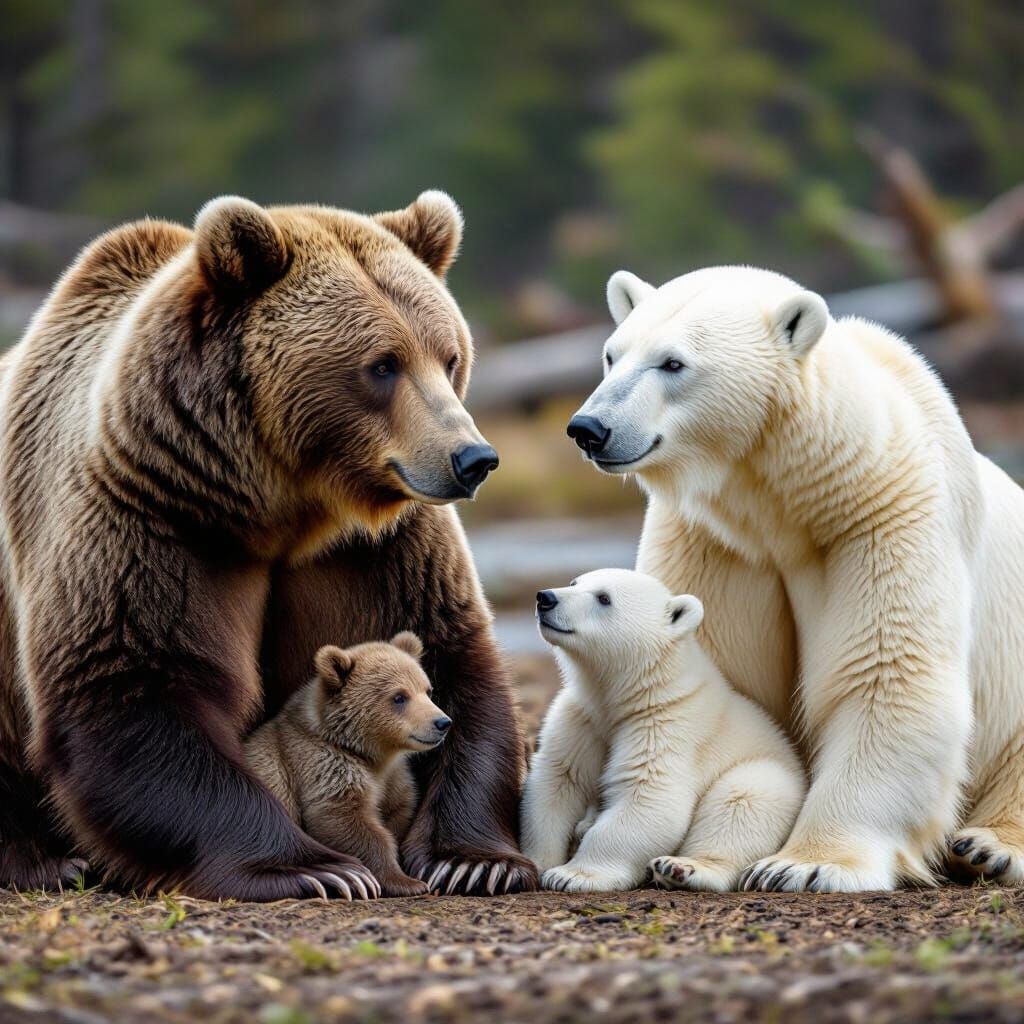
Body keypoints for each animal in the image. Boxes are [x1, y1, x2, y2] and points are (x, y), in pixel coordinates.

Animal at [245, 632, 450, 898]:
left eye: (427, 690)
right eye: (399, 696)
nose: (443, 722)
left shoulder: (394, 776)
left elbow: (399, 809)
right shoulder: (322, 764)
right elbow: (344, 818)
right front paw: (406, 882)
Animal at [520, 568, 805, 893]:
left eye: (604, 598)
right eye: (574, 583)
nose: (546, 597)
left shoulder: (667, 727)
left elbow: (651, 797)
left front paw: (573, 875)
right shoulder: (582, 718)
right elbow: (556, 781)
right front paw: (537, 863)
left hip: (767, 776)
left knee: (746, 796)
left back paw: (680, 867)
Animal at [565, 263, 1024, 892]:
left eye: (673, 362)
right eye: (612, 354)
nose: (589, 428)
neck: (796, 503)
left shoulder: (883, 515)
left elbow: (885, 671)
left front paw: (805, 864)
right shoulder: (718, 539)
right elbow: (719, 677)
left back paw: (989, 846)